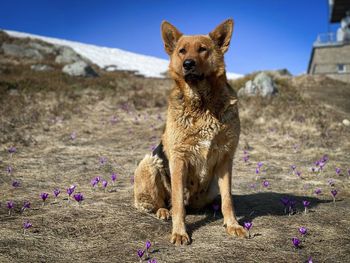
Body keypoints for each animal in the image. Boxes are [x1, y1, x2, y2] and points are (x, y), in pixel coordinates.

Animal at [133, 18, 246, 245]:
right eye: (182, 51)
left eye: (202, 49)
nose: (188, 64)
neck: (202, 104)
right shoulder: (179, 160)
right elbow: (178, 204)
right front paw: (179, 232)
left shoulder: (225, 159)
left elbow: (227, 200)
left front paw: (233, 225)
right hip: (150, 162)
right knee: (163, 202)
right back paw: (163, 211)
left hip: (210, 187)